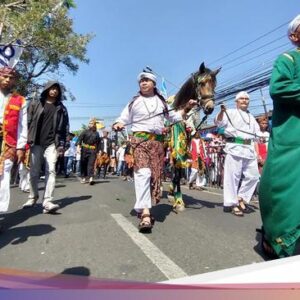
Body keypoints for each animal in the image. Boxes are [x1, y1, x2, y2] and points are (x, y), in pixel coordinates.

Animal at [166, 62, 220, 213]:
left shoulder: (184, 147)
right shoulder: (176, 146)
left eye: (214, 84)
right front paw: (178, 201)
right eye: (201, 83)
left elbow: (178, 171)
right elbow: (177, 172)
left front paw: (175, 195)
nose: (209, 108)